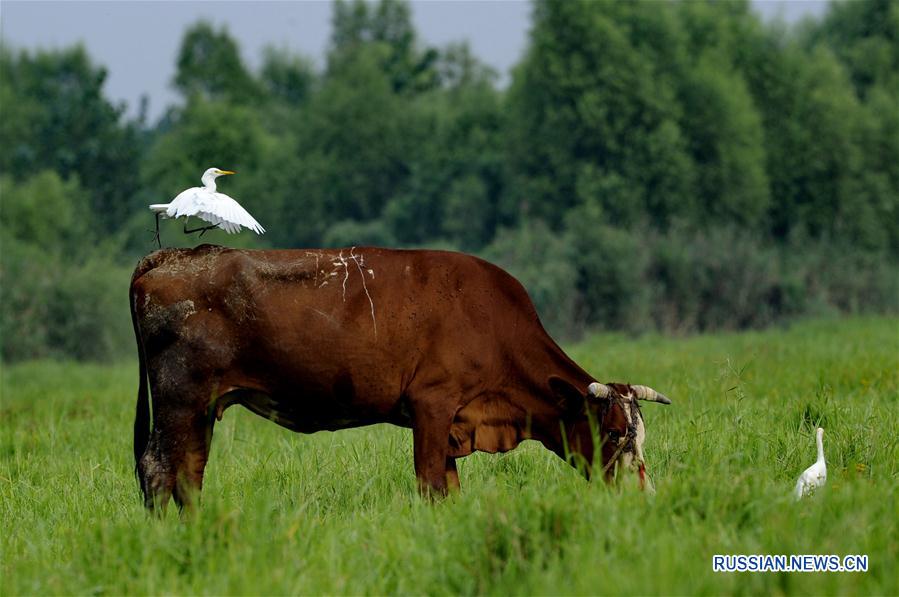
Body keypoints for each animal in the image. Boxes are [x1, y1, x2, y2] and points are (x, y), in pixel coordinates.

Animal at [132, 242, 668, 508]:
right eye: (614, 431)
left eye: (641, 435)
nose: (643, 495)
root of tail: (175, 255)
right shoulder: (432, 405)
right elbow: (430, 484)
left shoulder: (451, 423)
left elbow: (449, 490)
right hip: (180, 398)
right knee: (159, 471)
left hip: (200, 407)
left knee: (188, 475)